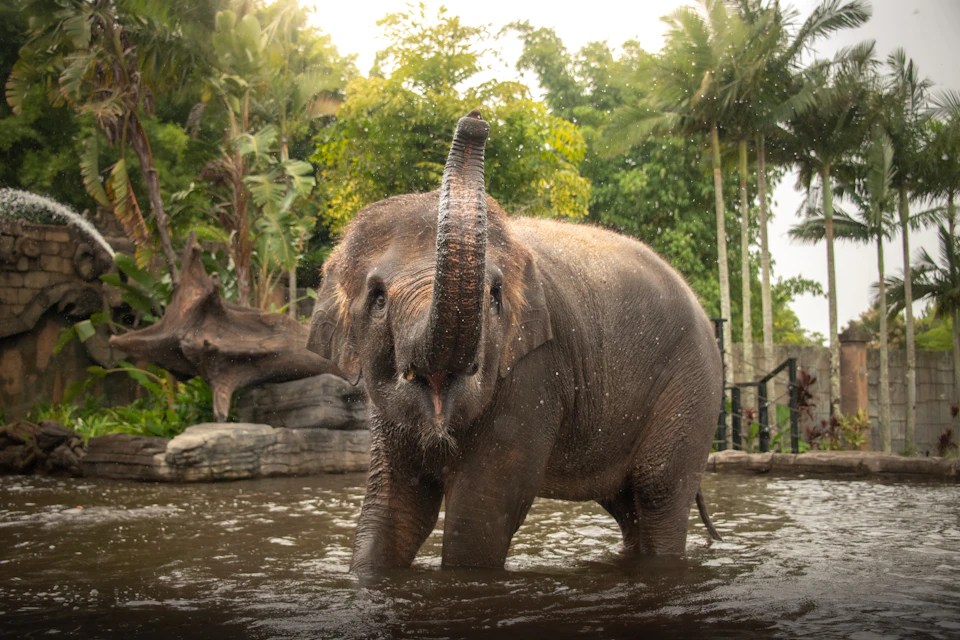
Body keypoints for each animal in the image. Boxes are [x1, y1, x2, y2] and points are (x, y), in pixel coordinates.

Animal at [308, 110, 723, 573]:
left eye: (494, 296)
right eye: (378, 297)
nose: (475, 118)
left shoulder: (534, 372)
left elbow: (481, 510)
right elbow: (394, 505)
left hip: (693, 388)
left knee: (657, 492)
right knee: (628, 505)